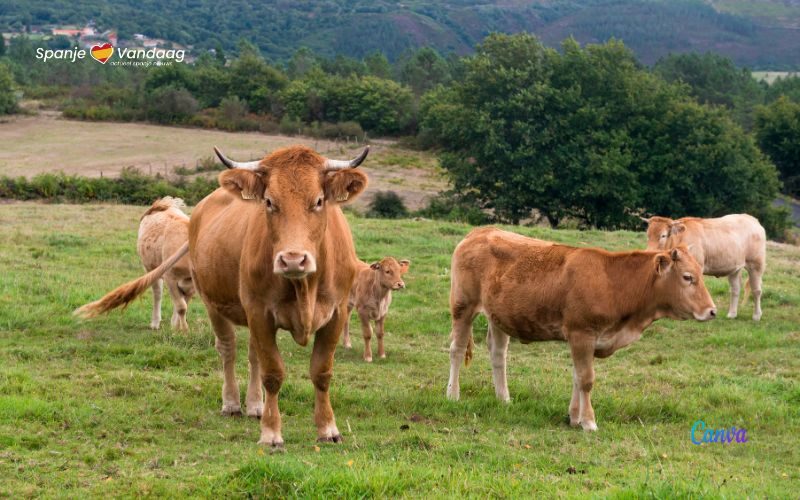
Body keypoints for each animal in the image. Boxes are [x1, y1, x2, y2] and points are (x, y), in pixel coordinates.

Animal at [76, 145, 370, 450]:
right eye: (269, 201)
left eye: (319, 201)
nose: (292, 260)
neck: (303, 288)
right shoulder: (260, 313)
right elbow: (272, 373)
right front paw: (271, 433)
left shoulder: (336, 314)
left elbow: (321, 373)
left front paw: (328, 429)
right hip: (214, 304)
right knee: (228, 350)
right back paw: (232, 403)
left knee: (253, 357)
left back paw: (255, 405)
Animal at [446, 229, 716, 432]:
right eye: (688, 277)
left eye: (701, 274)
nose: (712, 311)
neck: (613, 282)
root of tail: (480, 232)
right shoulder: (581, 334)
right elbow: (586, 379)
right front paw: (588, 421)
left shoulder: (584, 340)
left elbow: (577, 376)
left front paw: (574, 417)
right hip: (463, 305)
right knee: (456, 349)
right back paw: (452, 394)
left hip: (498, 315)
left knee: (498, 354)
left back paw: (504, 398)